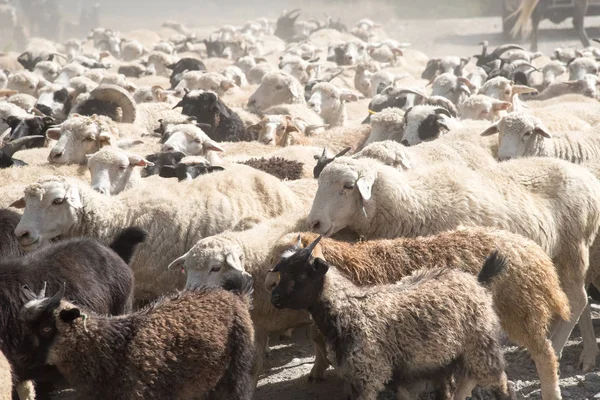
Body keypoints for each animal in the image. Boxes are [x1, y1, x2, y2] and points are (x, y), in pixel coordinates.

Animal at [270, 228, 568, 400]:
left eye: (299, 275)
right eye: (280, 268)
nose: (273, 297)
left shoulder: (370, 372)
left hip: (511, 322)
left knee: (540, 358)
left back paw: (551, 393)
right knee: (471, 375)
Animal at [308, 156, 600, 372]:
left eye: (348, 186)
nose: (314, 223)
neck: (414, 203)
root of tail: (585, 174)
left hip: (572, 247)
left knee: (578, 300)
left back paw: (557, 347)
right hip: (558, 255)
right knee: (576, 300)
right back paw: (587, 354)